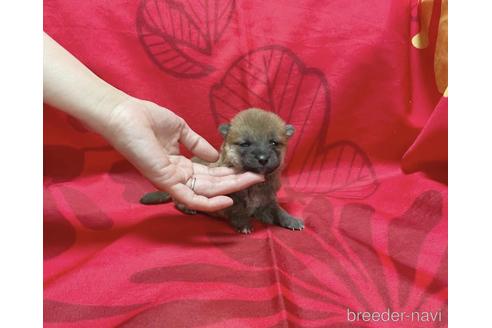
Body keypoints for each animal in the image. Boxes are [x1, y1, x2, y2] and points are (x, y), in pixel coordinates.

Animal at [140, 109, 306, 234]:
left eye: (273, 142)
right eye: (245, 144)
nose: (263, 158)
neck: (254, 187)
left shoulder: (268, 201)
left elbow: (278, 210)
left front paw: (291, 220)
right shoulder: (233, 201)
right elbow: (238, 212)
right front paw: (243, 224)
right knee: (177, 203)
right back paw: (188, 209)